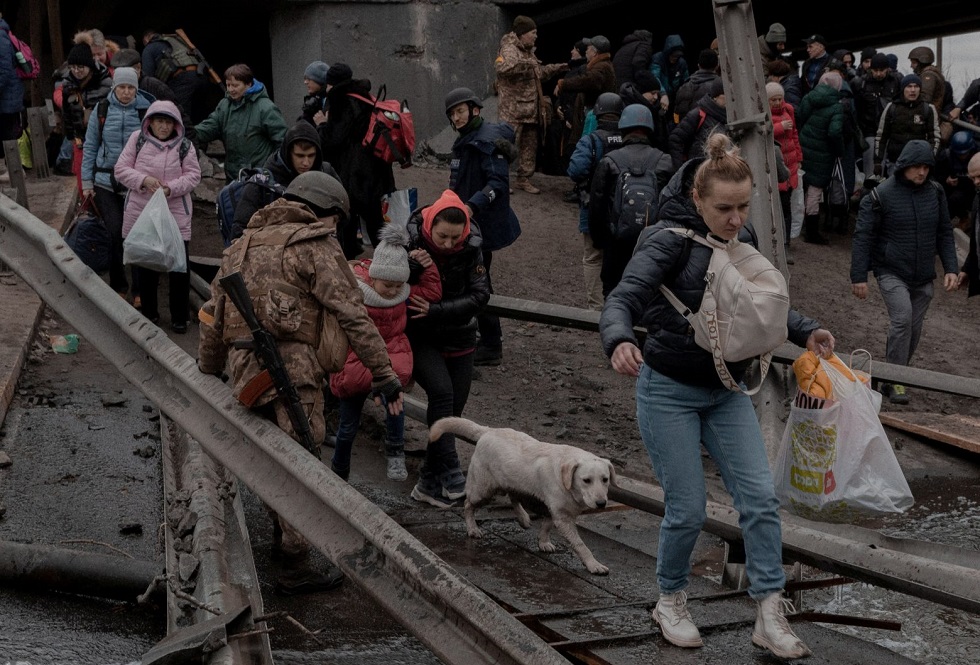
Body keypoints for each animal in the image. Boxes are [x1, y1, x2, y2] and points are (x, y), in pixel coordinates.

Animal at [426, 418, 612, 572]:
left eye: (605, 479)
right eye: (586, 480)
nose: (601, 503)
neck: (566, 481)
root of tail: (488, 431)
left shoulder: (552, 509)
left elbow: (546, 525)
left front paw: (543, 542)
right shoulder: (563, 517)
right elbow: (580, 545)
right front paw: (594, 565)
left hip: (515, 483)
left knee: (513, 495)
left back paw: (522, 517)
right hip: (483, 490)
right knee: (468, 505)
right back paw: (472, 528)